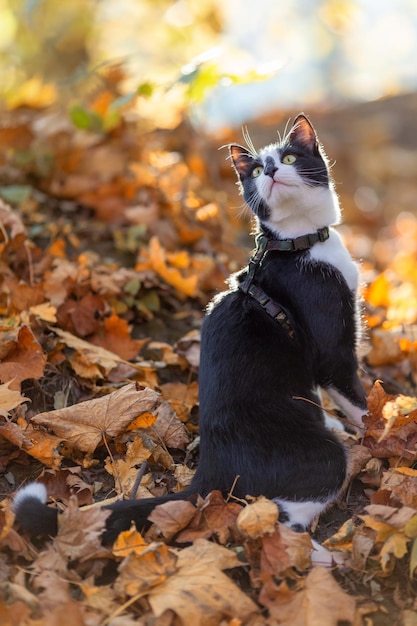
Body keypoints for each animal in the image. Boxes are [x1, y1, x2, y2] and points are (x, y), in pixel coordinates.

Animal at [13, 114, 366, 544]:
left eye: (288, 157)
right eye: (257, 170)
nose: (272, 171)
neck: (297, 245)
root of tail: (209, 472)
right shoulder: (330, 340)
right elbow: (353, 394)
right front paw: (386, 434)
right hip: (318, 459)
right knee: (275, 518)